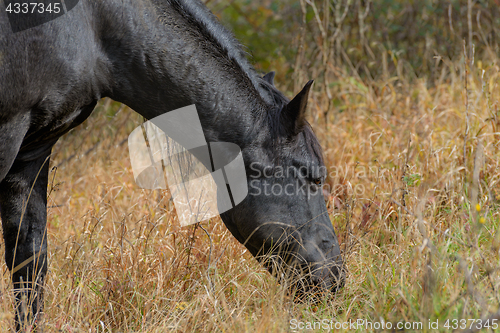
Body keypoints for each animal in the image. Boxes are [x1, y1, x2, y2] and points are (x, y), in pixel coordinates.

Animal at [0, 0, 344, 328]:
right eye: (314, 178)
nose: (336, 279)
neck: (94, 25)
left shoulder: (33, 151)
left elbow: (29, 261)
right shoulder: (9, 132)